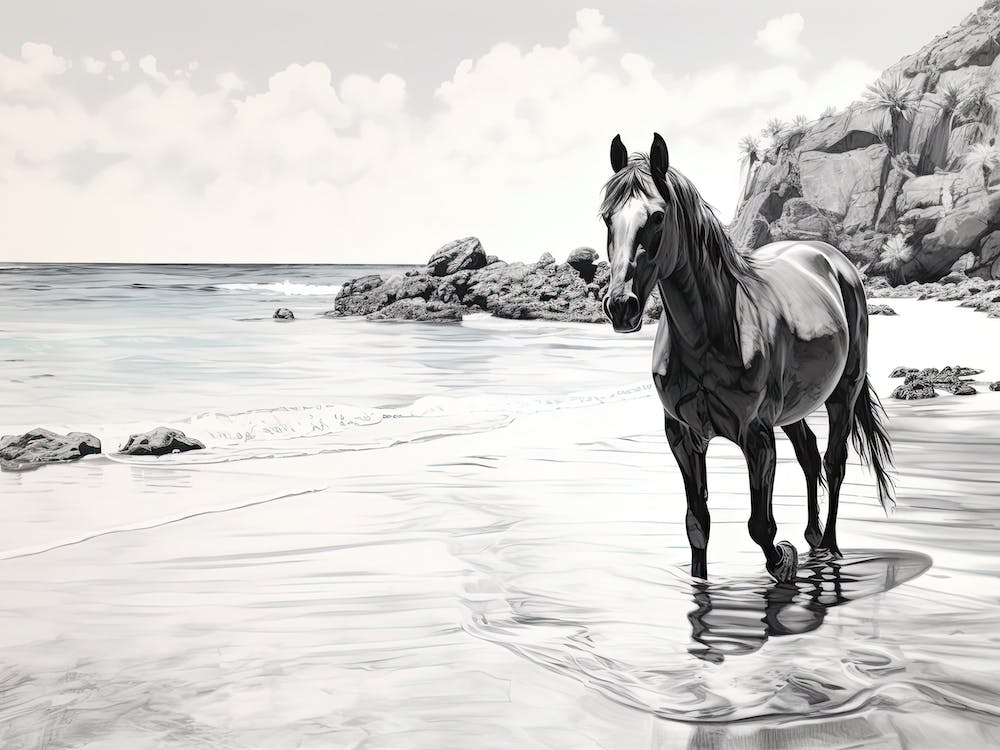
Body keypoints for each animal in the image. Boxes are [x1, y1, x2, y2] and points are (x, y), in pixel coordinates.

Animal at [600, 133, 893, 583]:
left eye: (657, 217)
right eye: (607, 219)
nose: (621, 307)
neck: (709, 335)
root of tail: (834, 260)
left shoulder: (756, 435)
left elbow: (761, 527)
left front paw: (784, 560)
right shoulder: (683, 436)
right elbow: (697, 523)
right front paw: (703, 582)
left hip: (842, 393)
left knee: (834, 463)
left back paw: (828, 548)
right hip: (793, 409)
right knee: (809, 455)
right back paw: (812, 537)